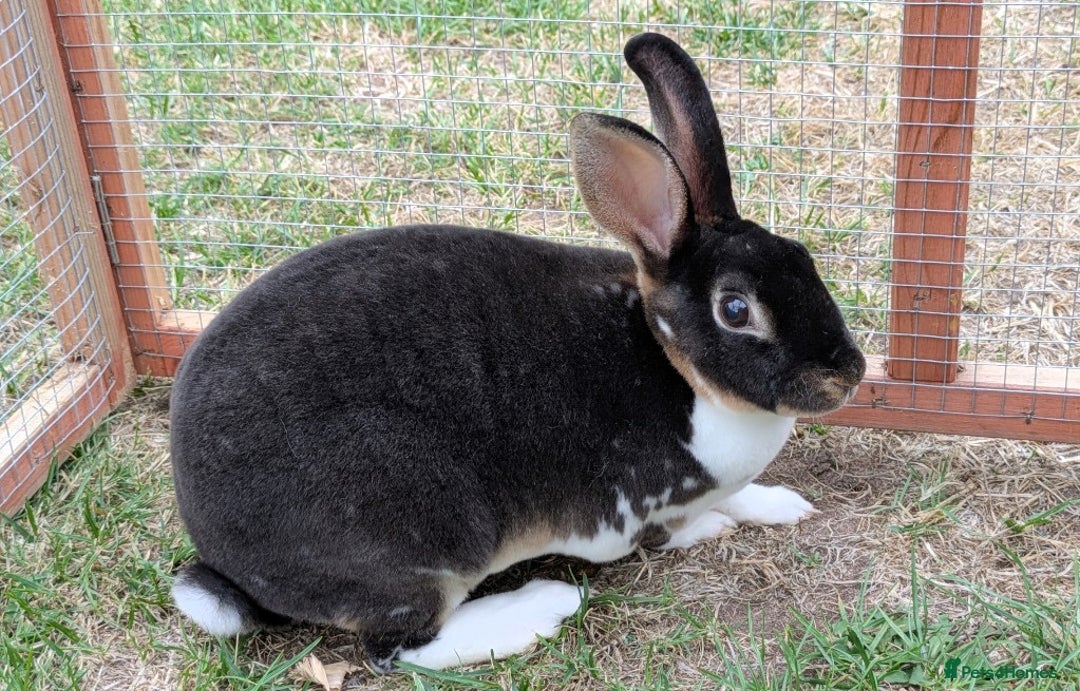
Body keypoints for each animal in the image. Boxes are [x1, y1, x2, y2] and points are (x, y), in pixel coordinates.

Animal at [169, 32, 865, 673]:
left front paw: (780, 505)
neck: (674, 363)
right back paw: (542, 606)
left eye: (802, 256)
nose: (849, 376)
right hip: (428, 531)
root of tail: (227, 563)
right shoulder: (630, 514)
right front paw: (709, 527)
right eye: (736, 309)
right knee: (398, 648)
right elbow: (665, 532)